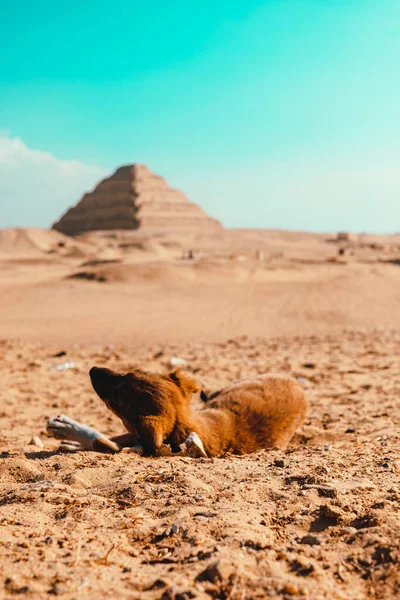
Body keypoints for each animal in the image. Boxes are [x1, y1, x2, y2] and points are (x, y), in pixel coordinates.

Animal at [47, 364, 310, 458]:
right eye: (129, 371)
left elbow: (103, 441)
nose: (92, 369)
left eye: (117, 399)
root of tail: (299, 385)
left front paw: (68, 429)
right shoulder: (134, 435)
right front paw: (70, 436)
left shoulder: (138, 437)